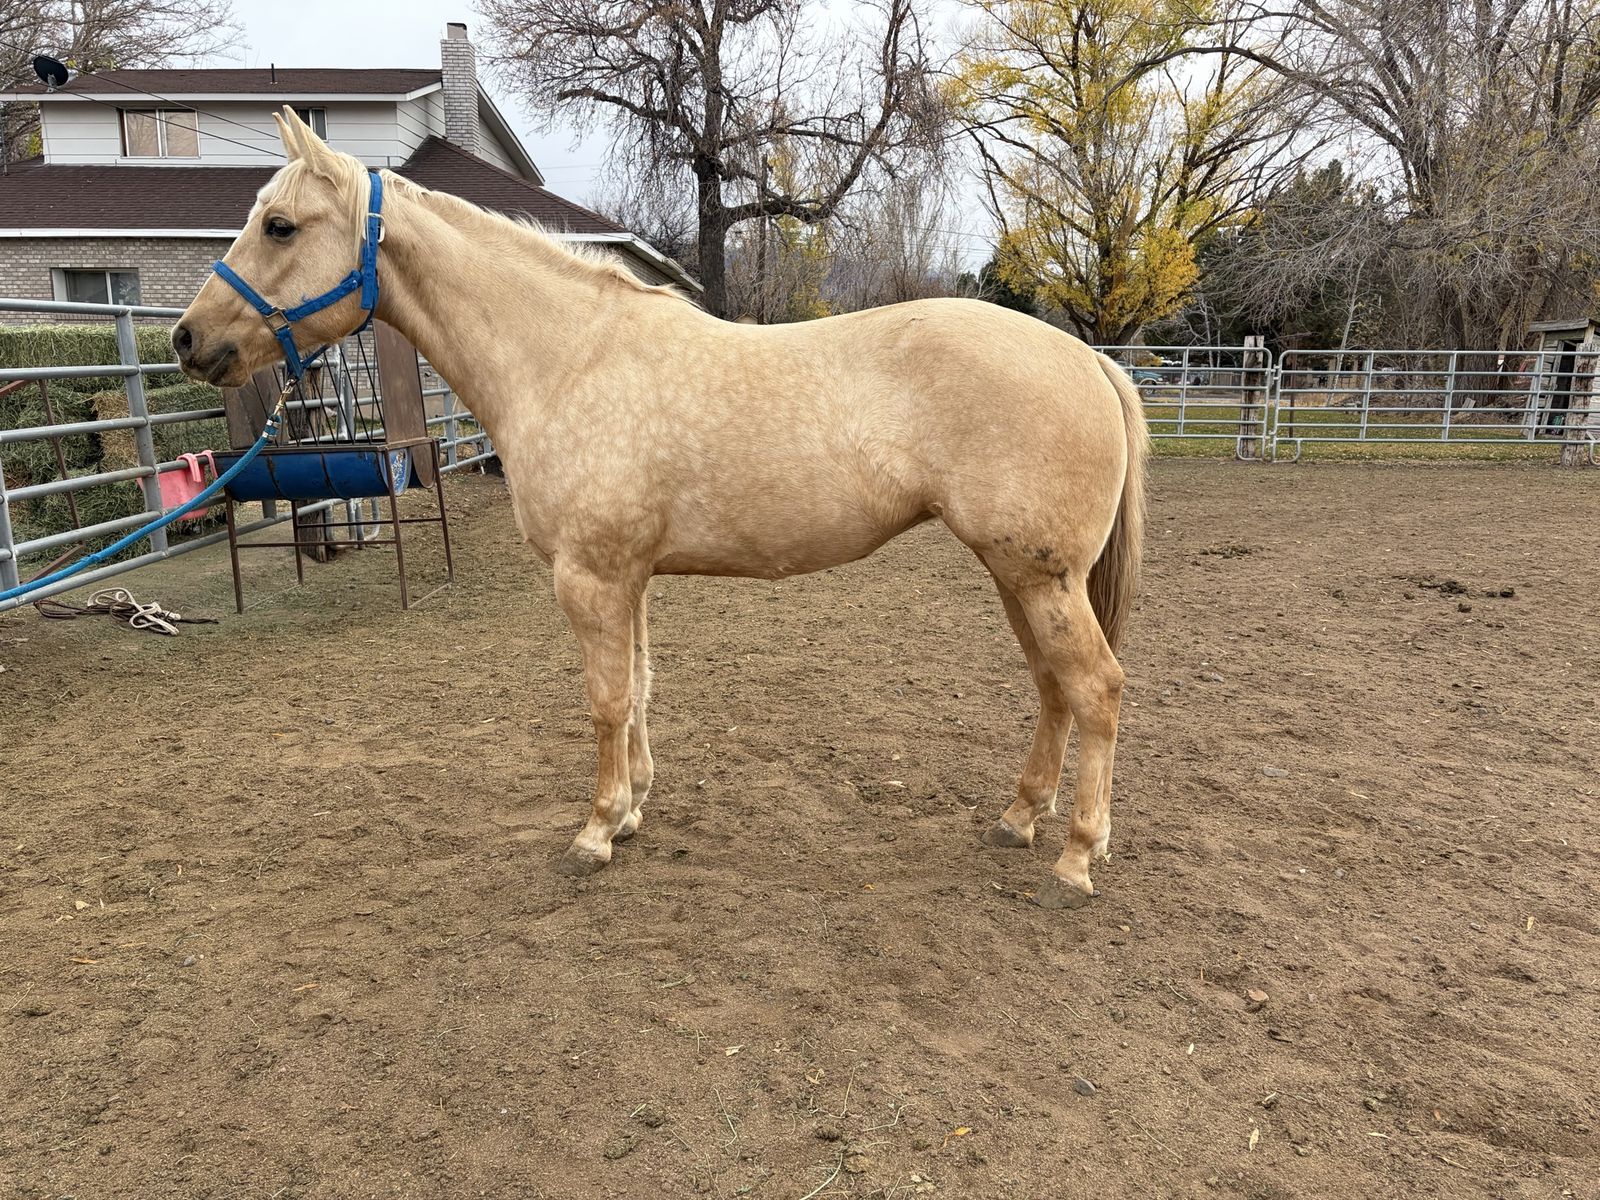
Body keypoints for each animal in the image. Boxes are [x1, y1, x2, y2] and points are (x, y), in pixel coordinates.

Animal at [173, 108, 1148, 910]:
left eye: (280, 225)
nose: (189, 339)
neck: (568, 357)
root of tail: (1087, 359)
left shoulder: (591, 577)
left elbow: (606, 701)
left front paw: (596, 830)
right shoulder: (630, 578)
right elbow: (639, 690)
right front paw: (635, 809)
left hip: (1038, 577)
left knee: (1096, 690)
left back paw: (1075, 858)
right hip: (1021, 577)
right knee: (1054, 688)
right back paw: (1019, 819)